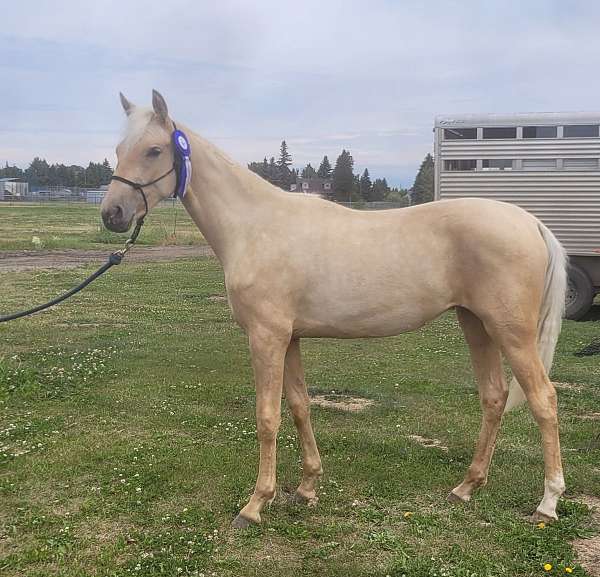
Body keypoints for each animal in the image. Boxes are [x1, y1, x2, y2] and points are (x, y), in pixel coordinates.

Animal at [102, 90, 568, 528]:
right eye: (118, 149)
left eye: (154, 150)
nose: (112, 214)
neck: (254, 227)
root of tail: (530, 222)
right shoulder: (289, 338)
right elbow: (299, 406)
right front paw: (306, 487)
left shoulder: (266, 337)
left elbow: (267, 416)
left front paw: (256, 504)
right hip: (476, 324)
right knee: (494, 397)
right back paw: (466, 487)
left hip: (511, 332)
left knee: (543, 399)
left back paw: (547, 503)